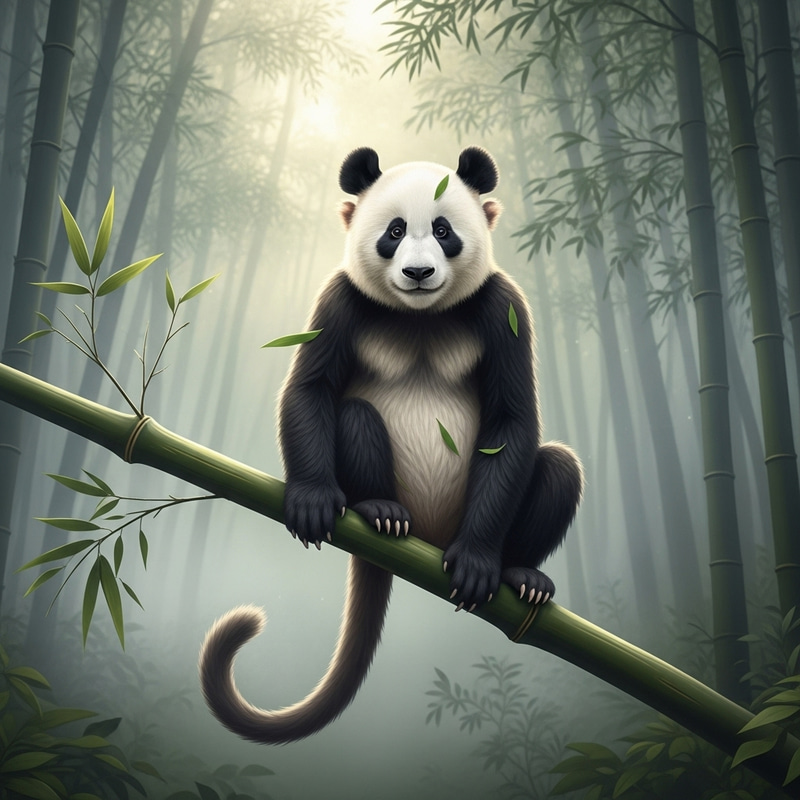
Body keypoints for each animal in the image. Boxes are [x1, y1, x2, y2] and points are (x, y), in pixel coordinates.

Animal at [199, 146, 583, 744]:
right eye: (395, 231)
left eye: (444, 231)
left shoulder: (503, 308)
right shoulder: (341, 298)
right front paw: (311, 502)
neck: (420, 316)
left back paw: (522, 576)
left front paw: (478, 563)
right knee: (355, 415)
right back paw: (380, 512)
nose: (418, 273)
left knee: (560, 468)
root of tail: (422, 542)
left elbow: (513, 421)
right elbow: (311, 387)